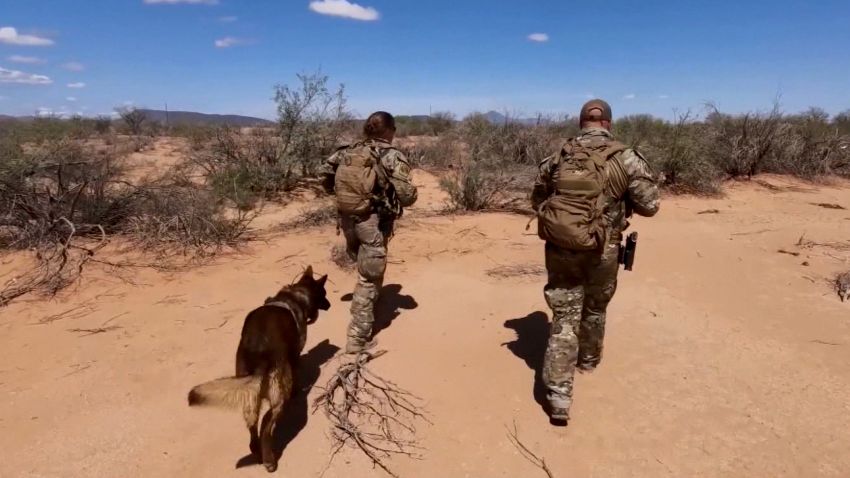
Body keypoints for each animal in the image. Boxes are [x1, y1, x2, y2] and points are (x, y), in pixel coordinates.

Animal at [187, 268, 330, 472]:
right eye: (324, 294)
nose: (330, 305)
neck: (295, 295)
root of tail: (261, 356)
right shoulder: (295, 354)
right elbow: (296, 372)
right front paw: (297, 390)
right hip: (278, 397)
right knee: (265, 425)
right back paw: (269, 459)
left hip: (249, 394)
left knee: (252, 424)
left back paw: (255, 449)